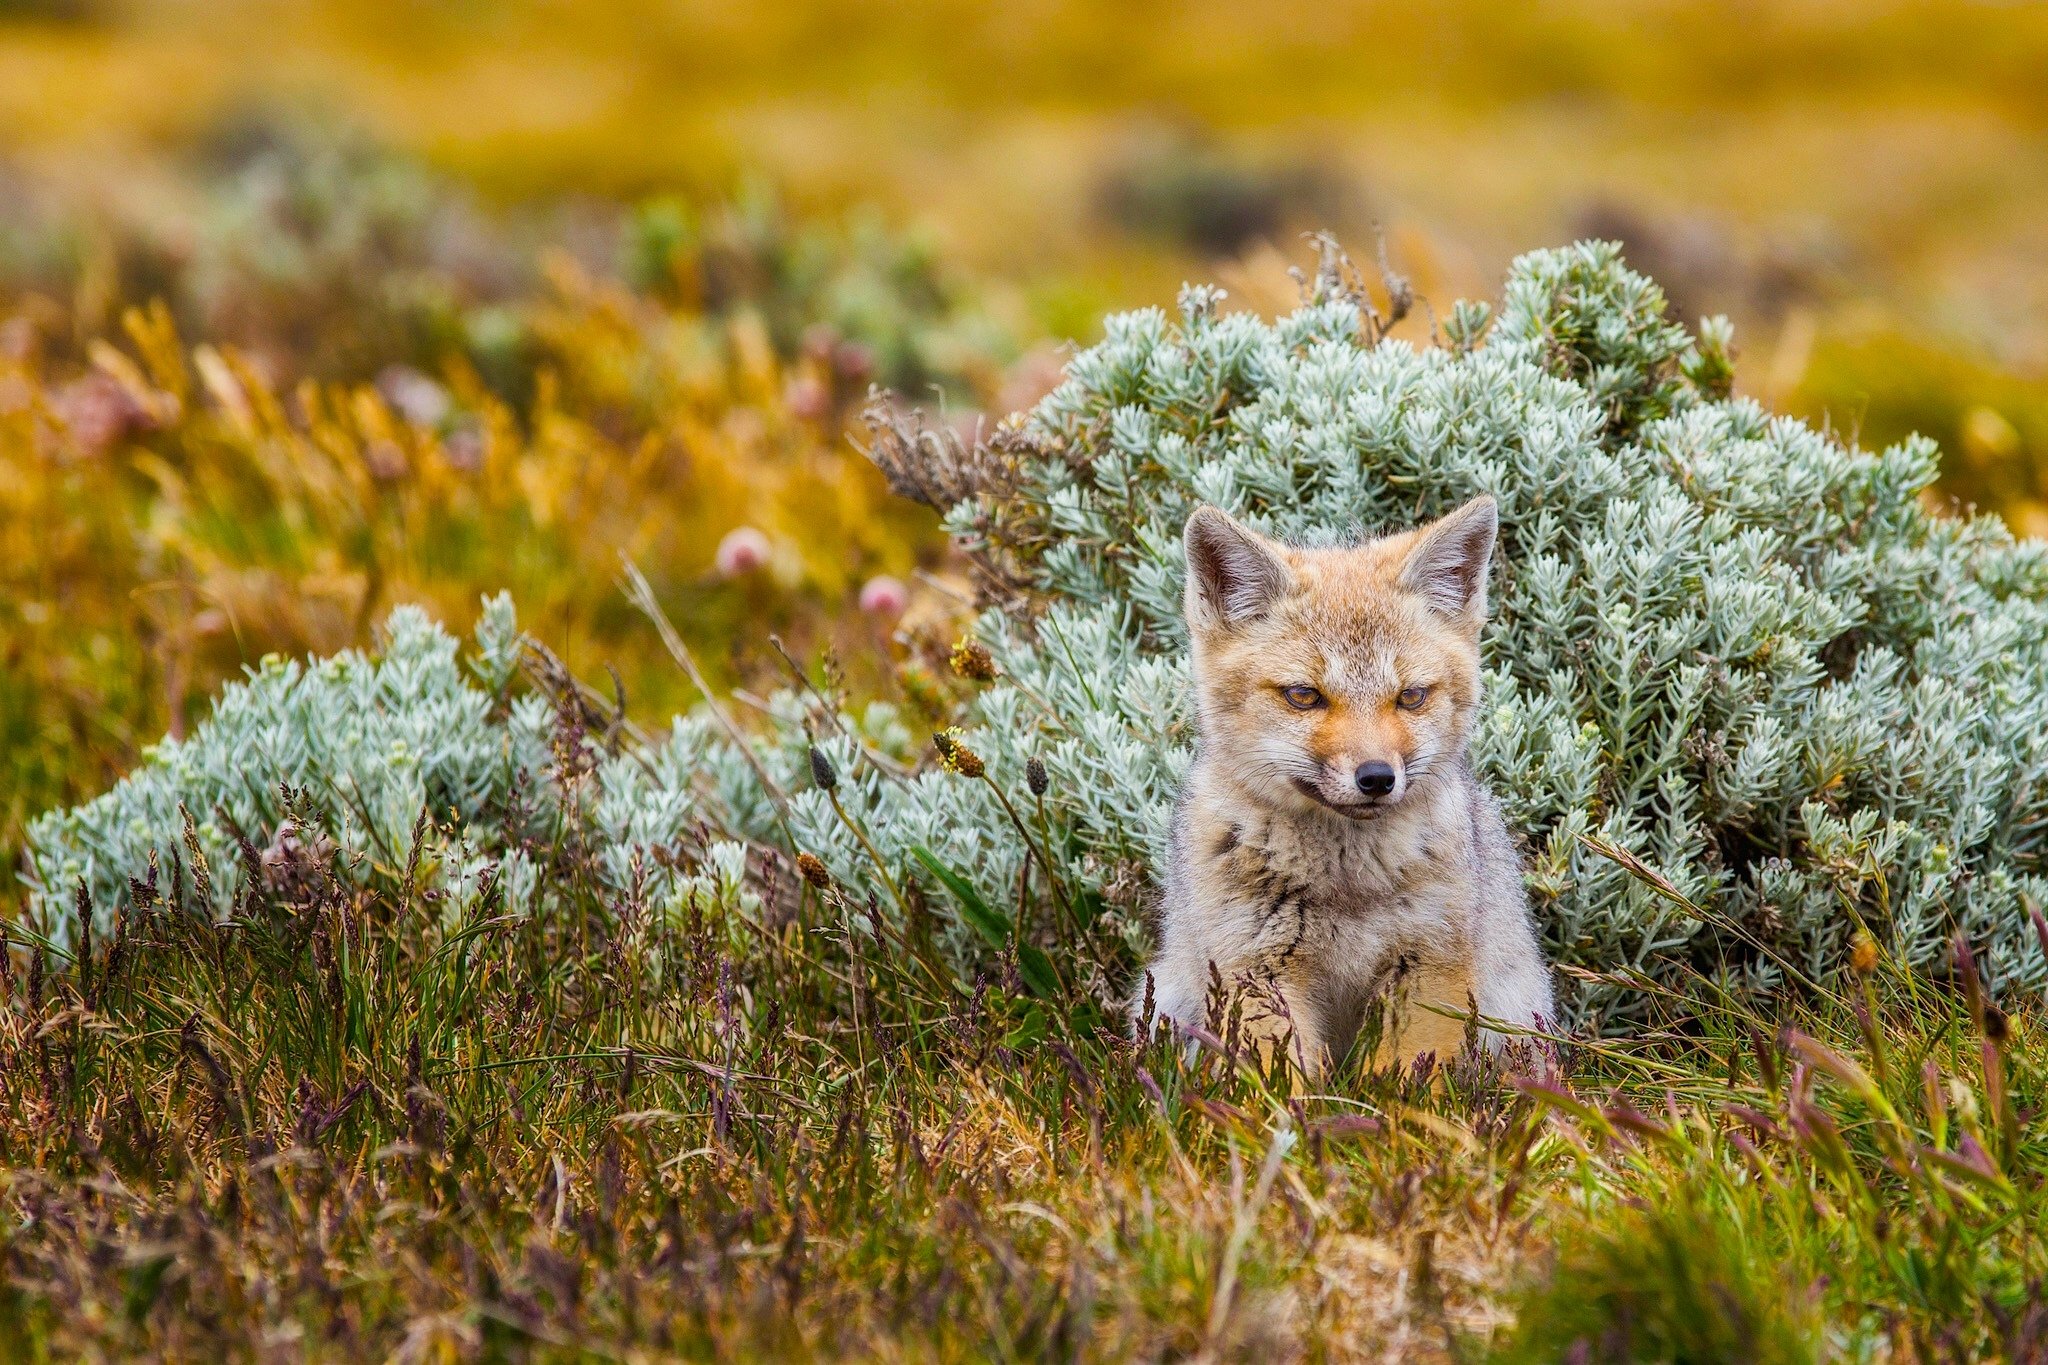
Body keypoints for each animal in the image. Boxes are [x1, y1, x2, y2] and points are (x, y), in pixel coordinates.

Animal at [1142, 495, 1553, 1079]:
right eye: (1303, 696)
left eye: (1411, 696)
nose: (1377, 777)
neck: (1347, 886)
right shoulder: (1258, 969)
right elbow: (1284, 1086)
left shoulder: (1428, 967)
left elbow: (1407, 1085)